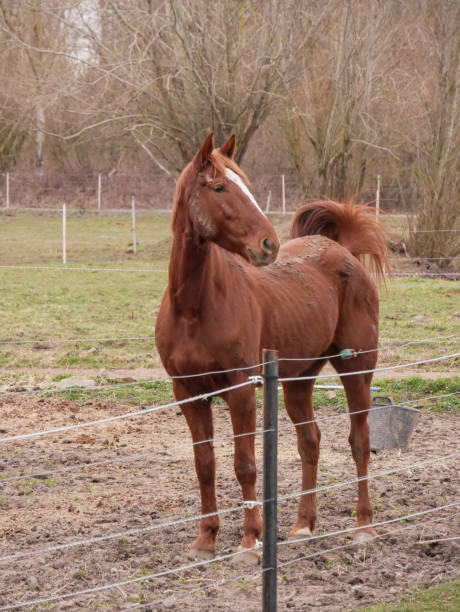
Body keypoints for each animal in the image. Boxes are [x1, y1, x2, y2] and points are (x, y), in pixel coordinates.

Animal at [155, 131, 388, 560]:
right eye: (219, 187)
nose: (268, 244)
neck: (194, 306)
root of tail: (342, 251)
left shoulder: (242, 389)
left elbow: (245, 463)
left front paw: (250, 541)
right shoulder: (188, 393)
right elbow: (204, 464)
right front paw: (205, 539)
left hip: (357, 369)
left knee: (360, 441)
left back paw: (364, 527)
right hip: (298, 380)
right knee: (310, 442)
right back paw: (302, 527)